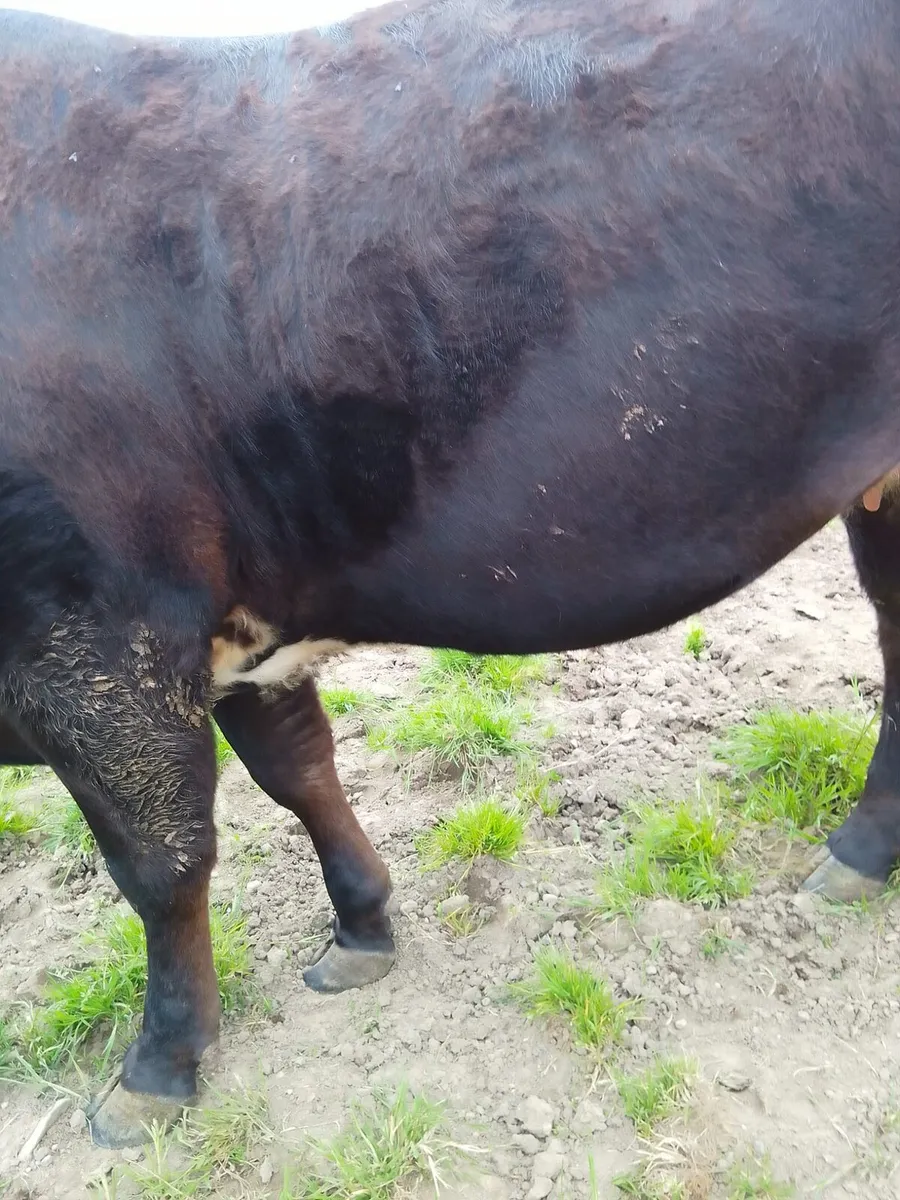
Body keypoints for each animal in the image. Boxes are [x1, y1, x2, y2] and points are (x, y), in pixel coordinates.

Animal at [2, 0, 900, 1149]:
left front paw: (159, 1068)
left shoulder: (95, 638)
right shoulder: (236, 625)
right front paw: (363, 928)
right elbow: (299, 768)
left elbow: (162, 865)